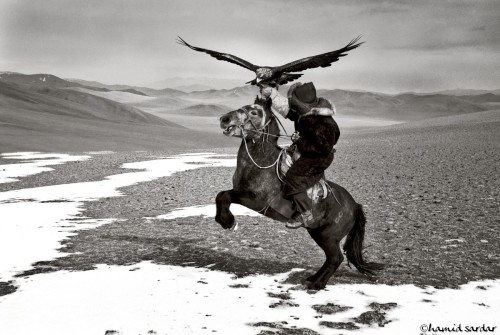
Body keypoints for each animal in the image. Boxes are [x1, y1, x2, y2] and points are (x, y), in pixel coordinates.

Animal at [215, 97, 382, 292]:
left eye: (254, 112)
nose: (224, 119)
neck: (261, 164)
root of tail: (355, 206)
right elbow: (221, 195)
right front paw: (223, 220)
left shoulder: (255, 201)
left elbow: (225, 196)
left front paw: (228, 221)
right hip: (317, 233)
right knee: (330, 258)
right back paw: (311, 279)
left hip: (328, 236)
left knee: (336, 258)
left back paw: (317, 284)